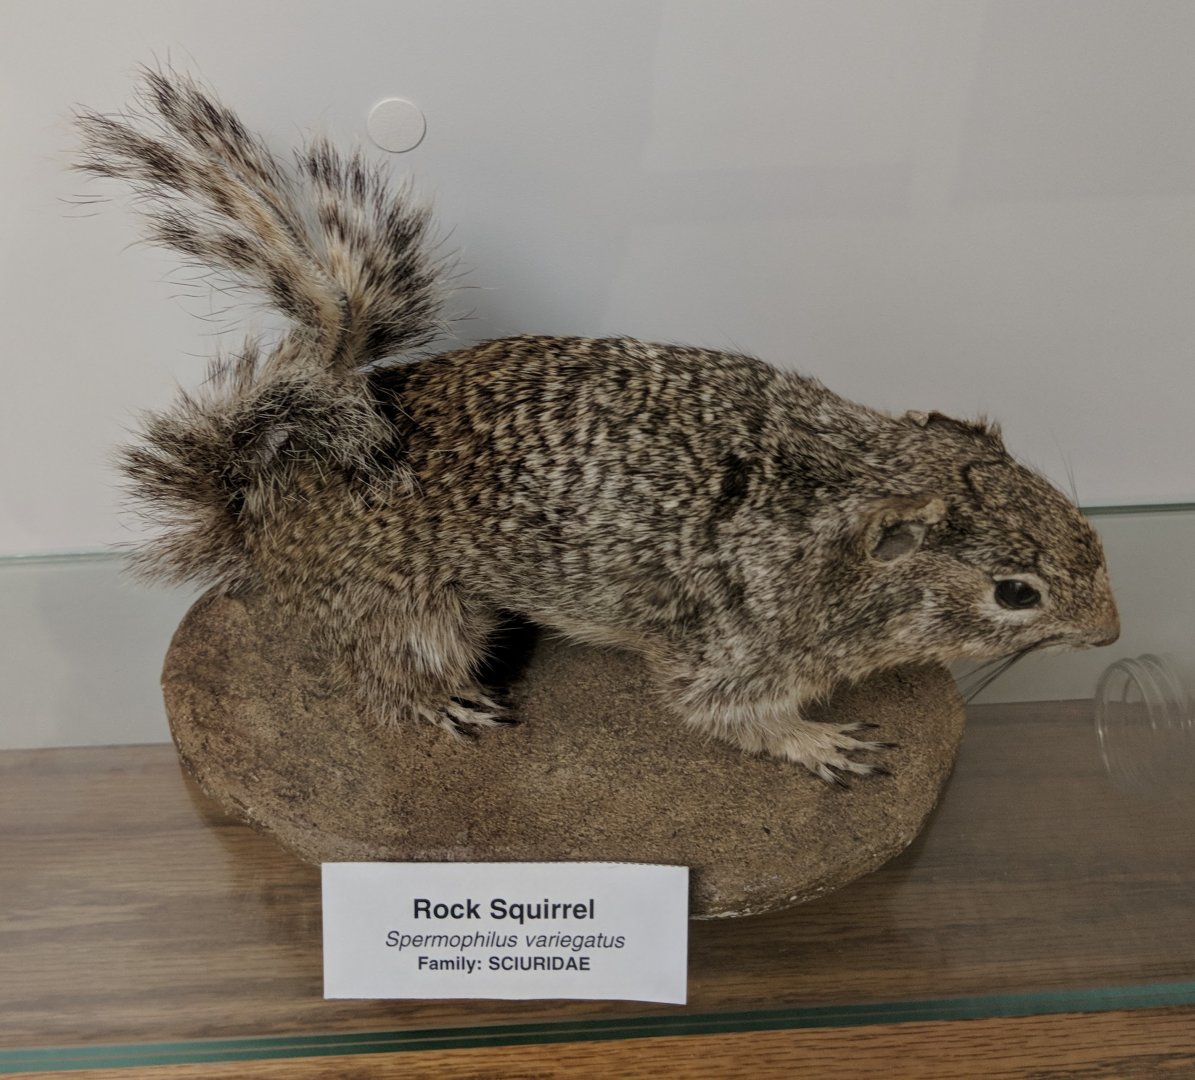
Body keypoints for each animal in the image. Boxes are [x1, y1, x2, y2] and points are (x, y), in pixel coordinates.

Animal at [77, 68, 1120, 784]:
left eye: (1080, 519)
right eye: (1014, 593)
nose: (1110, 631)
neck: (850, 484)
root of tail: (261, 513)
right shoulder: (735, 654)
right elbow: (723, 716)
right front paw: (819, 740)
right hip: (416, 615)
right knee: (378, 681)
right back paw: (450, 704)